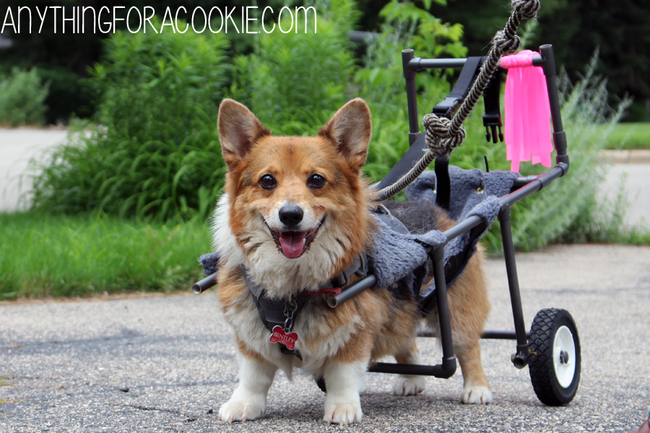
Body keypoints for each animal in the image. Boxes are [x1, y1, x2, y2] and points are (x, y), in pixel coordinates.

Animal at [213, 97, 492, 422]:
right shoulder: (250, 332)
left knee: (468, 348)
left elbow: (342, 374)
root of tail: (438, 209)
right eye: (267, 180)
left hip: (455, 306)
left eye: (316, 180)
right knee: (406, 338)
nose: (290, 215)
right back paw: (411, 379)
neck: (293, 283)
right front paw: (243, 404)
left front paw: (342, 408)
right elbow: (253, 375)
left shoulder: (357, 328)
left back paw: (477, 389)